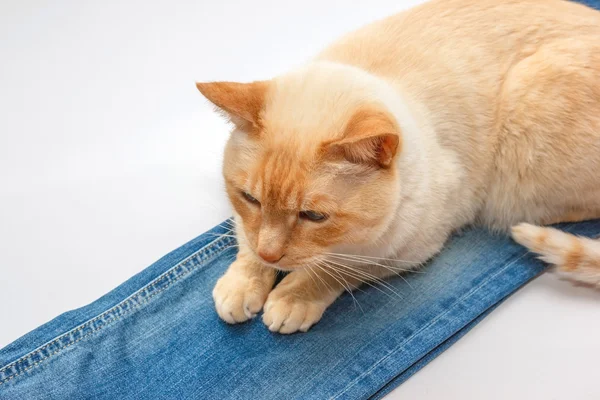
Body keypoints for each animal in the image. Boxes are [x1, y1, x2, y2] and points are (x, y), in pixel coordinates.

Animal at [198, 0, 600, 334]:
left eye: (313, 217)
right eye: (250, 198)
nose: (272, 254)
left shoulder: (408, 249)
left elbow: (340, 269)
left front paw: (294, 297)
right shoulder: (249, 226)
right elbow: (246, 242)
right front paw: (242, 285)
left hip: (521, 145)